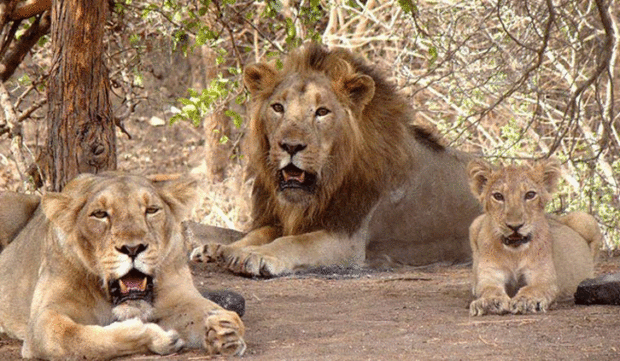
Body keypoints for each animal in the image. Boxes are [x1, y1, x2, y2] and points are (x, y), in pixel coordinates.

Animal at [0, 173, 246, 358]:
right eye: (100, 214)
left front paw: (225, 330)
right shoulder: (42, 321)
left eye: (151, 210)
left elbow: (209, 311)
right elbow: (78, 339)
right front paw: (155, 337)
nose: (133, 248)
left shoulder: (179, 296)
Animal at [191, 43, 482, 278]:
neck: (326, 185)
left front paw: (254, 255)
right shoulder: (281, 219)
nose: (290, 146)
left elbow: (296, 243)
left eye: (322, 112)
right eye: (277, 107)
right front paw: (221, 249)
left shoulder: (348, 240)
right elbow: (256, 234)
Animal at [470, 158, 600, 316]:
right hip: (475, 223)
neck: (514, 253)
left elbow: (533, 288)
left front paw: (526, 301)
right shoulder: (490, 274)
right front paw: (490, 302)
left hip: (584, 218)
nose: (515, 226)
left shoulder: (544, 277)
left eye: (530, 195)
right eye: (498, 196)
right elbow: (489, 288)